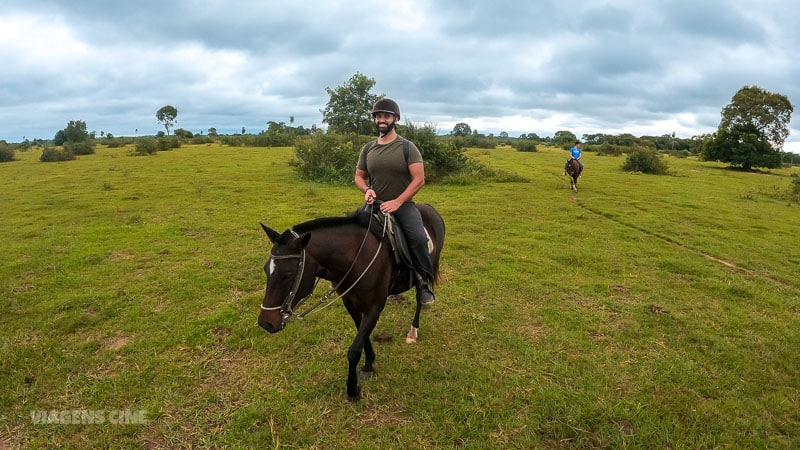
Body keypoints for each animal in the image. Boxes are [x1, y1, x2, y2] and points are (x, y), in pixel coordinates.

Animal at [260, 204, 444, 400]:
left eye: (288, 274)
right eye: (266, 269)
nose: (266, 323)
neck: (357, 258)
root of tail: (429, 208)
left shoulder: (375, 307)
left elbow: (354, 350)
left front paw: (352, 389)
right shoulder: (350, 303)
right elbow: (363, 338)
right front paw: (369, 364)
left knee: (419, 297)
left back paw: (413, 330)